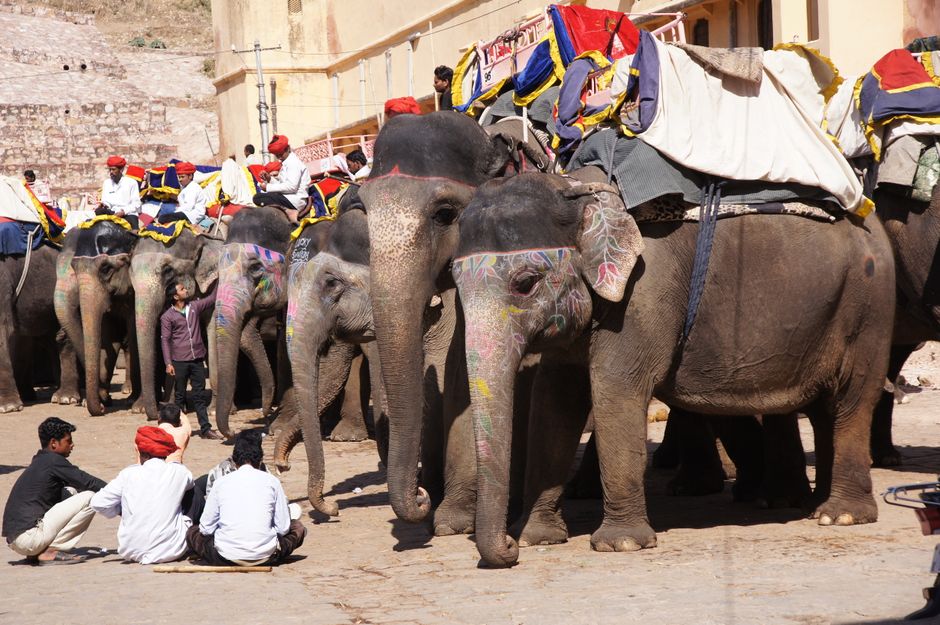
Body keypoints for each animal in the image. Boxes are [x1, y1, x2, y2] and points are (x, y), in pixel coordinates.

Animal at [55, 219, 141, 416]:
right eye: (74, 269)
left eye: (106, 268)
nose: (103, 405)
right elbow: (109, 335)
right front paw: (94, 401)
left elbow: (134, 332)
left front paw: (138, 407)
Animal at [451, 173, 895, 567]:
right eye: (455, 284)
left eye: (525, 283)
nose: (507, 547)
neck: (575, 191)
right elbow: (555, 401)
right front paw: (535, 537)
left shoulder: (642, 296)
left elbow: (615, 391)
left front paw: (621, 545)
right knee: (822, 408)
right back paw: (806, 504)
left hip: (868, 308)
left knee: (852, 399)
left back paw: (840, 515)